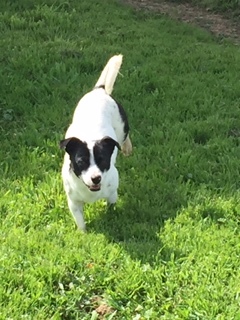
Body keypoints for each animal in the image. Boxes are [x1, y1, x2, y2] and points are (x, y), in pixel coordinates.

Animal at [59, 54, 131, 230]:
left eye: (102, 160)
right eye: (81, 161)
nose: (96, 178)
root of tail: (100, 90)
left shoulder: (112, 194)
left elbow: (111, 207)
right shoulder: (74, 203)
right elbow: (80, 222)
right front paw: (83, 234)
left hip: (122, 127)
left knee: (125, 137)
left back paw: (127, 147)